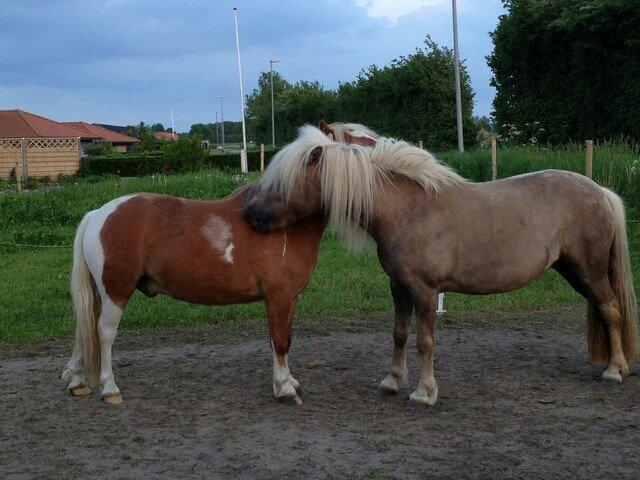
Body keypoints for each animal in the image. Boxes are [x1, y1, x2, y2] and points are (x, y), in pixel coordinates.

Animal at [62, 186, 324, 404]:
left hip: (99, 294)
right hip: (115, 292)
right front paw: (285, 389)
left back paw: (77, 381)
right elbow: (280, 341)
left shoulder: (289, 299)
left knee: (84, 330)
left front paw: (290, 382)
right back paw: (110, 388)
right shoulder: (279, 297)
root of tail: (98, 214)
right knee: (104, 333)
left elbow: (283, 338)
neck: (288, 225)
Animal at [242, 121, 636, 404]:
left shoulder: (426, 291)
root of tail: (600, 191)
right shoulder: (399, 287)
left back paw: (615, 370)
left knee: (611, 311)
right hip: (574, 272)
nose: (250, 215)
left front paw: (424, 392)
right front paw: (392, 381)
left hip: (590, 271)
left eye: (284, 179)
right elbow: (400, 334)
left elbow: (425, 341)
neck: (408, 209)